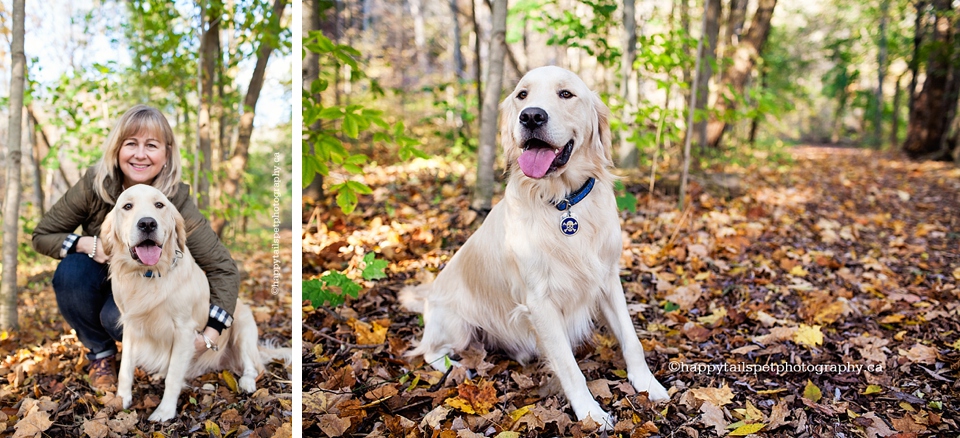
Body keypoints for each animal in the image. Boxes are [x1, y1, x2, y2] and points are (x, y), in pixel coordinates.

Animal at [101, 184, 290, 420]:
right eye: (127, 206)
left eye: (159, 205)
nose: (147, 223)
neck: (150, 274)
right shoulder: (131, 326)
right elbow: (125, 368)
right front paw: (121, 399)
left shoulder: (184, 330)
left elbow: (174, 375)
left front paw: (165, 411)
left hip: (242, 324)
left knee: (253, 366)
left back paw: (247, 381)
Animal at [398, 66, 668, 430]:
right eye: (521, 95)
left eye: (566, 94)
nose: (531, 116)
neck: (563, 203)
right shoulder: (540, 301)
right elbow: (569, 366)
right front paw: (591, 413)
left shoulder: (608, 278)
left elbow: (631, 339)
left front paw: (648, 383)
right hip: (455, 323)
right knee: (428, 351)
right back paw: (455, 368)